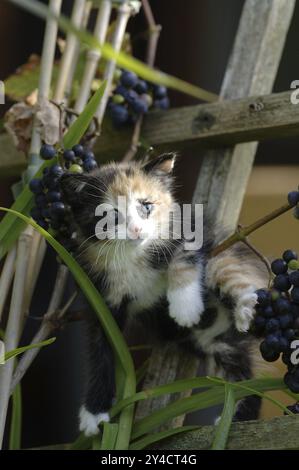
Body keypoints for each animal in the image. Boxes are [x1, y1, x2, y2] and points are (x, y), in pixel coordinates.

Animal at [59, 154, 268, 436]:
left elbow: (182, 256)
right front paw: (94, 411)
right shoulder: (98, 295)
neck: (132, 256)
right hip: (219, 344)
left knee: (229, 270)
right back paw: (238, 419)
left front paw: (185, 308)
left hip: (229, 257)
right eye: (111, 214)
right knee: (246, 380)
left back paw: (247, 308)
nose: (136, 230)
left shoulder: (196, 229)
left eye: (146, 206)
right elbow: (100, 348)